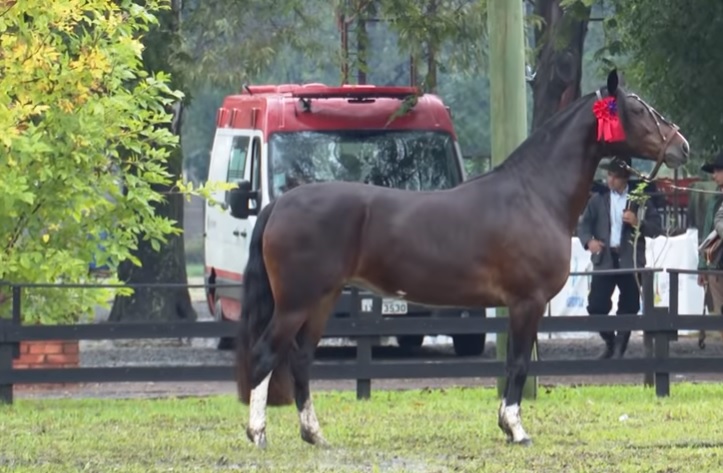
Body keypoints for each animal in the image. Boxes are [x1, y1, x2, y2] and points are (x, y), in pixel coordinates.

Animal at [231, 69, 690, 448]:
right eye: (637, 109)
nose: (682, 146)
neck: (535, 194)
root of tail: (281, 203)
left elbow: (510, 363)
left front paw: (506, 425)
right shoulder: (527, 303)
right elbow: (518, 363)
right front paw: (516, 429)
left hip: (321, 301)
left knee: (300, 359)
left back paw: (315, 436)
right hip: (296, 303)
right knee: (267, 354)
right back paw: (258, 434)